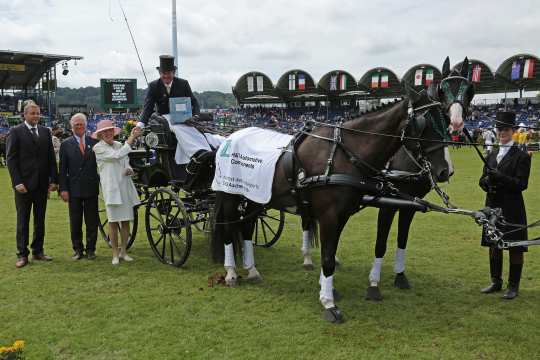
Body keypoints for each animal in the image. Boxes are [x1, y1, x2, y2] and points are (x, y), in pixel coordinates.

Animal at [211, 94, 452, 322]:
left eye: (446, 121)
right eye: (424, 124)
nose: (444, 170)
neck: (344, 155)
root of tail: (230, 137)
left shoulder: (342, 215)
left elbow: (332, 251)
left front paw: (328, 290)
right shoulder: (329, 215)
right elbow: (328, 257)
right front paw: (329, 304)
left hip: (254, 197)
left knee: (247, 228)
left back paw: (252, 270)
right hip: (230, 195)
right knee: (228, 230)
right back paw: (231, 272)